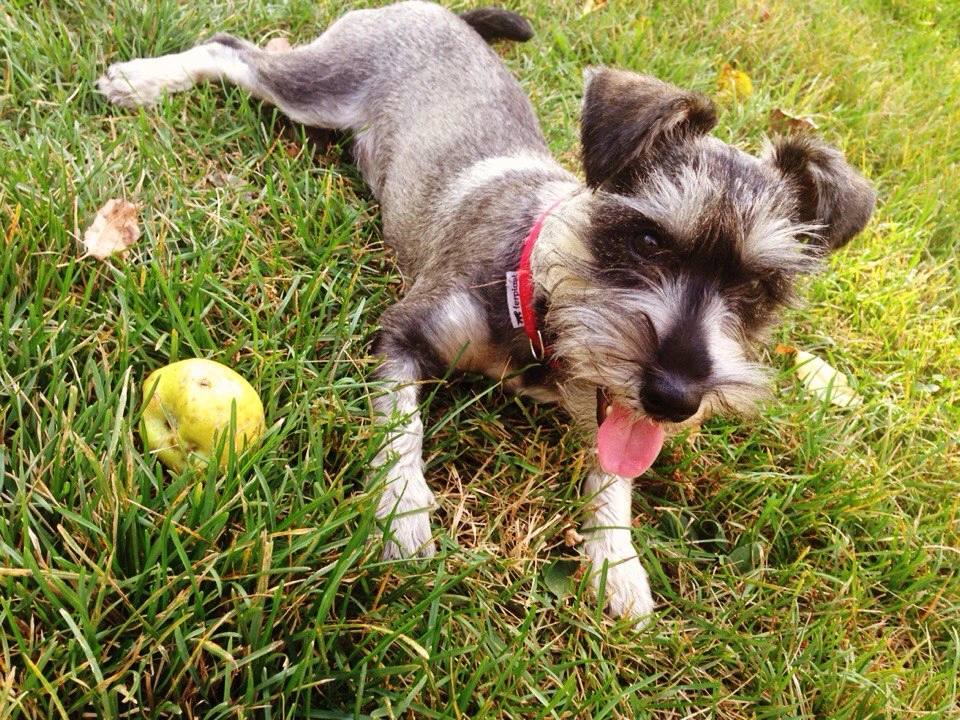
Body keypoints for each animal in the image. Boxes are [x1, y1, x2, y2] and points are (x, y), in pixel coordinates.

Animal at [97, 1, 875, 620]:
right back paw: (139, 81)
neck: (534, 296)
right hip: (315, 87)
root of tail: (435, 9)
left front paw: (617, 561)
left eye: (760, 287)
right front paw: (403, 516)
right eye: (648, 238)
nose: (676, 395)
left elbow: (615, 474)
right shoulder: (404, 334)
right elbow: (402, 431)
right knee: (232, 49)